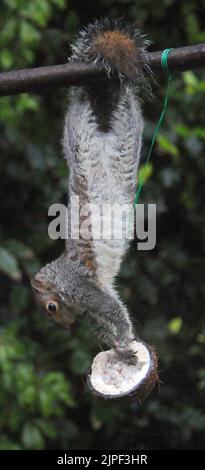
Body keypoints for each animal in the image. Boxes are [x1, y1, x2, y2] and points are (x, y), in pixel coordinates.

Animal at [30, 18, 149, 364]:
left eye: (51, 307)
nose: (66, 326)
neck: (62, 274)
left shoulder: (84, 291)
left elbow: (113, 309)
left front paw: (124, 338)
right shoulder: (89, 303)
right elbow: (107, 317)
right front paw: (117, 345)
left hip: (124, 128)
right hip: (89, 125)